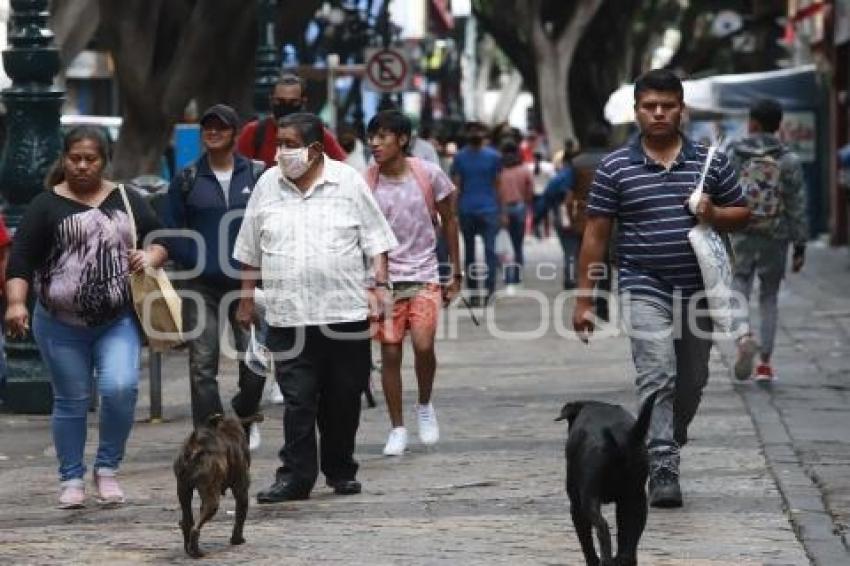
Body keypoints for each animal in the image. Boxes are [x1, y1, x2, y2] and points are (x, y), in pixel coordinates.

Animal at [171, 414, 253, 560]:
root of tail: (194, 445)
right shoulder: (241, 490)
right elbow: (240, 516)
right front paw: (237, 540)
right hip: (212, 500)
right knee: (195, 529)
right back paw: (197, 552)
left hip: (183, 489)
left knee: (187, 522)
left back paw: (189, 549)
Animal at [556, 394, 656, 566]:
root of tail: (621, 438)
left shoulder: (576, 506)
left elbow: (586, 541)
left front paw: (592, 560)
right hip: (636, 500)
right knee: (628, 548)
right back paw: (619, 559)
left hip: (589, 499)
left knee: (603, 529)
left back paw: (605, 560)